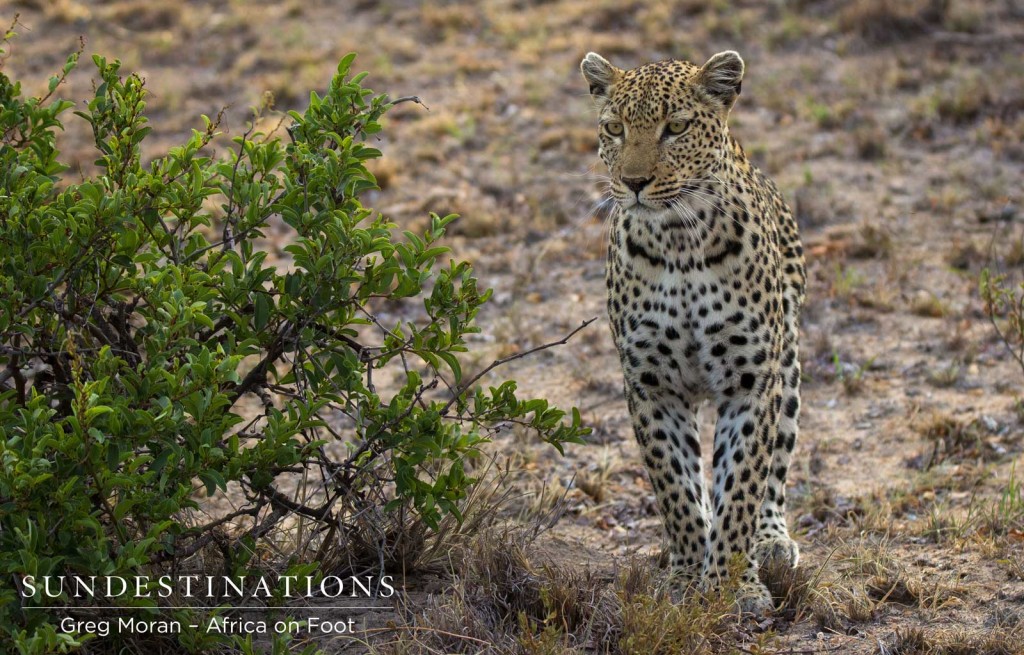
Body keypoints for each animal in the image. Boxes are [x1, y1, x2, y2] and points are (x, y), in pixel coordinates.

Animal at [581, 51, 802, 614]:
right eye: (614, 128)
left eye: (675, 128)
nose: (634, 182)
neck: (679, 240)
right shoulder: (650, 384)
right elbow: (675, 487)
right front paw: (685, 575)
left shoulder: (751, 382)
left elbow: (742, 485)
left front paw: (730, 585)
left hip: (788, 367)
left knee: (774, 472)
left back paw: (771, 541)